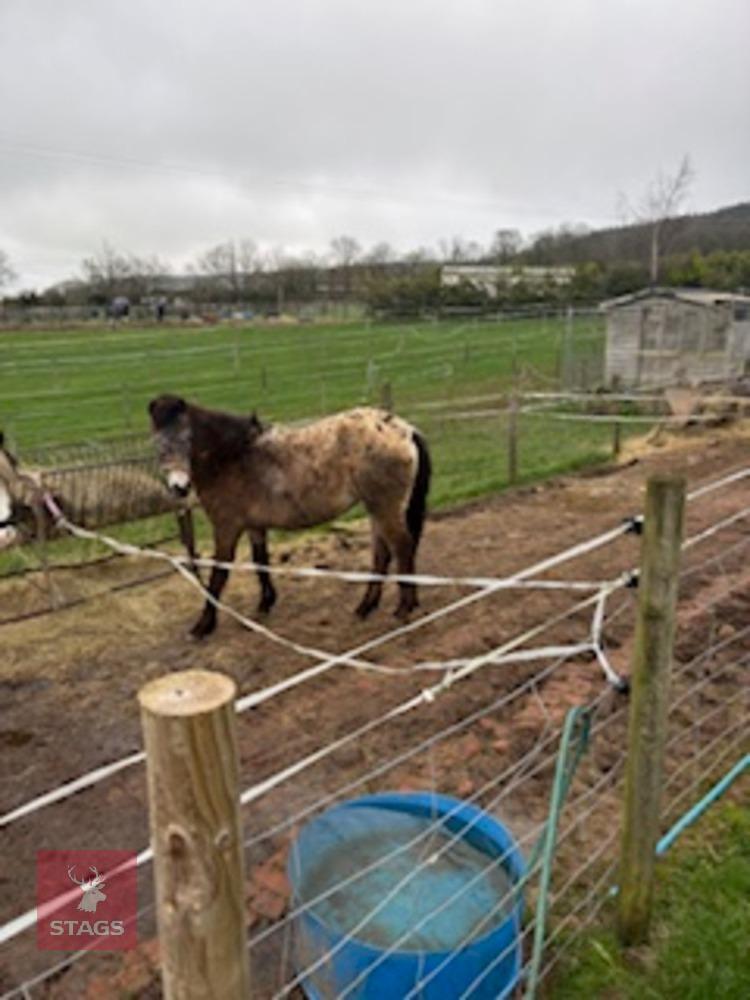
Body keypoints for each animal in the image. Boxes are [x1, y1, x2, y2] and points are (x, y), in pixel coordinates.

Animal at [148, 394, 432, 638]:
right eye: (158, 444)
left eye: (188, 438)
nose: (179, 487)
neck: (233, 457)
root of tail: (404, 429)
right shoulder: (254, 526)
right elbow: (260, 561)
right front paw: (265, 603)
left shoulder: (227, 528)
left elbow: (218, 575)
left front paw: (203, 625)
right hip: (376, 508)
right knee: (382, 554)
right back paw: (366, 607)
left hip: (385, 507)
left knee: (402, 547)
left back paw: (404, 608)